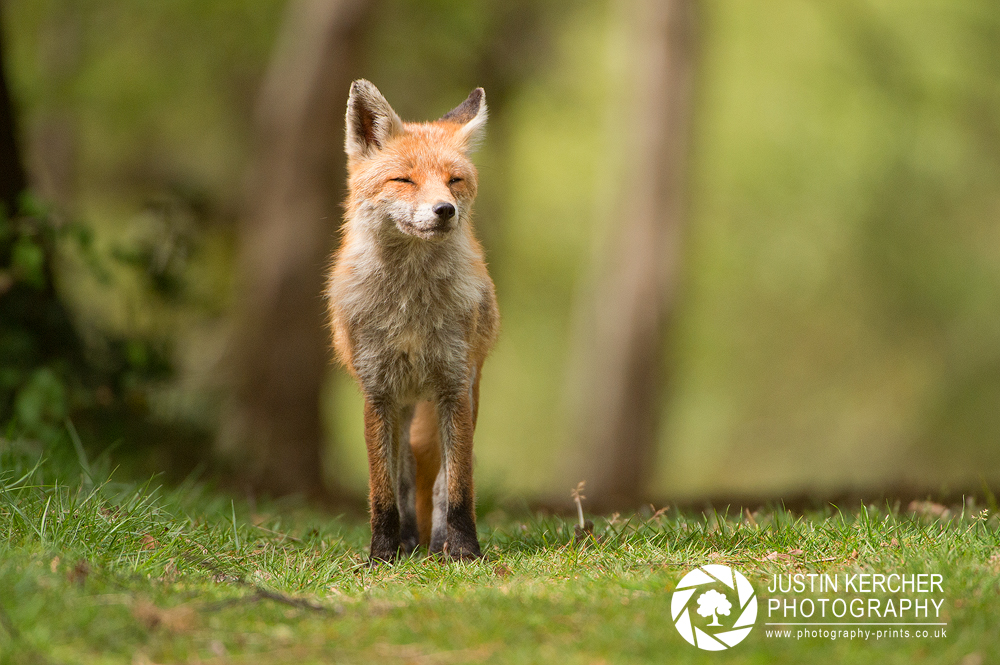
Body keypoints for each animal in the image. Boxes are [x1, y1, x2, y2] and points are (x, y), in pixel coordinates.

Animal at [328, 81, 500, 560]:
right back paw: (407, 540)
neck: (410, 308)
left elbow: (456, 488)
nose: (445, 210)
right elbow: (384, 491)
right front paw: (381, 554)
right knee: (405, 478)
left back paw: (437, 542)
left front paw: (463, 550)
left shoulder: (454, 386)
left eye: (454, 181)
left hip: (464, 393)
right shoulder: (377, 392)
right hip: (404, 407)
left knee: (441, 480)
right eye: (403, 180)